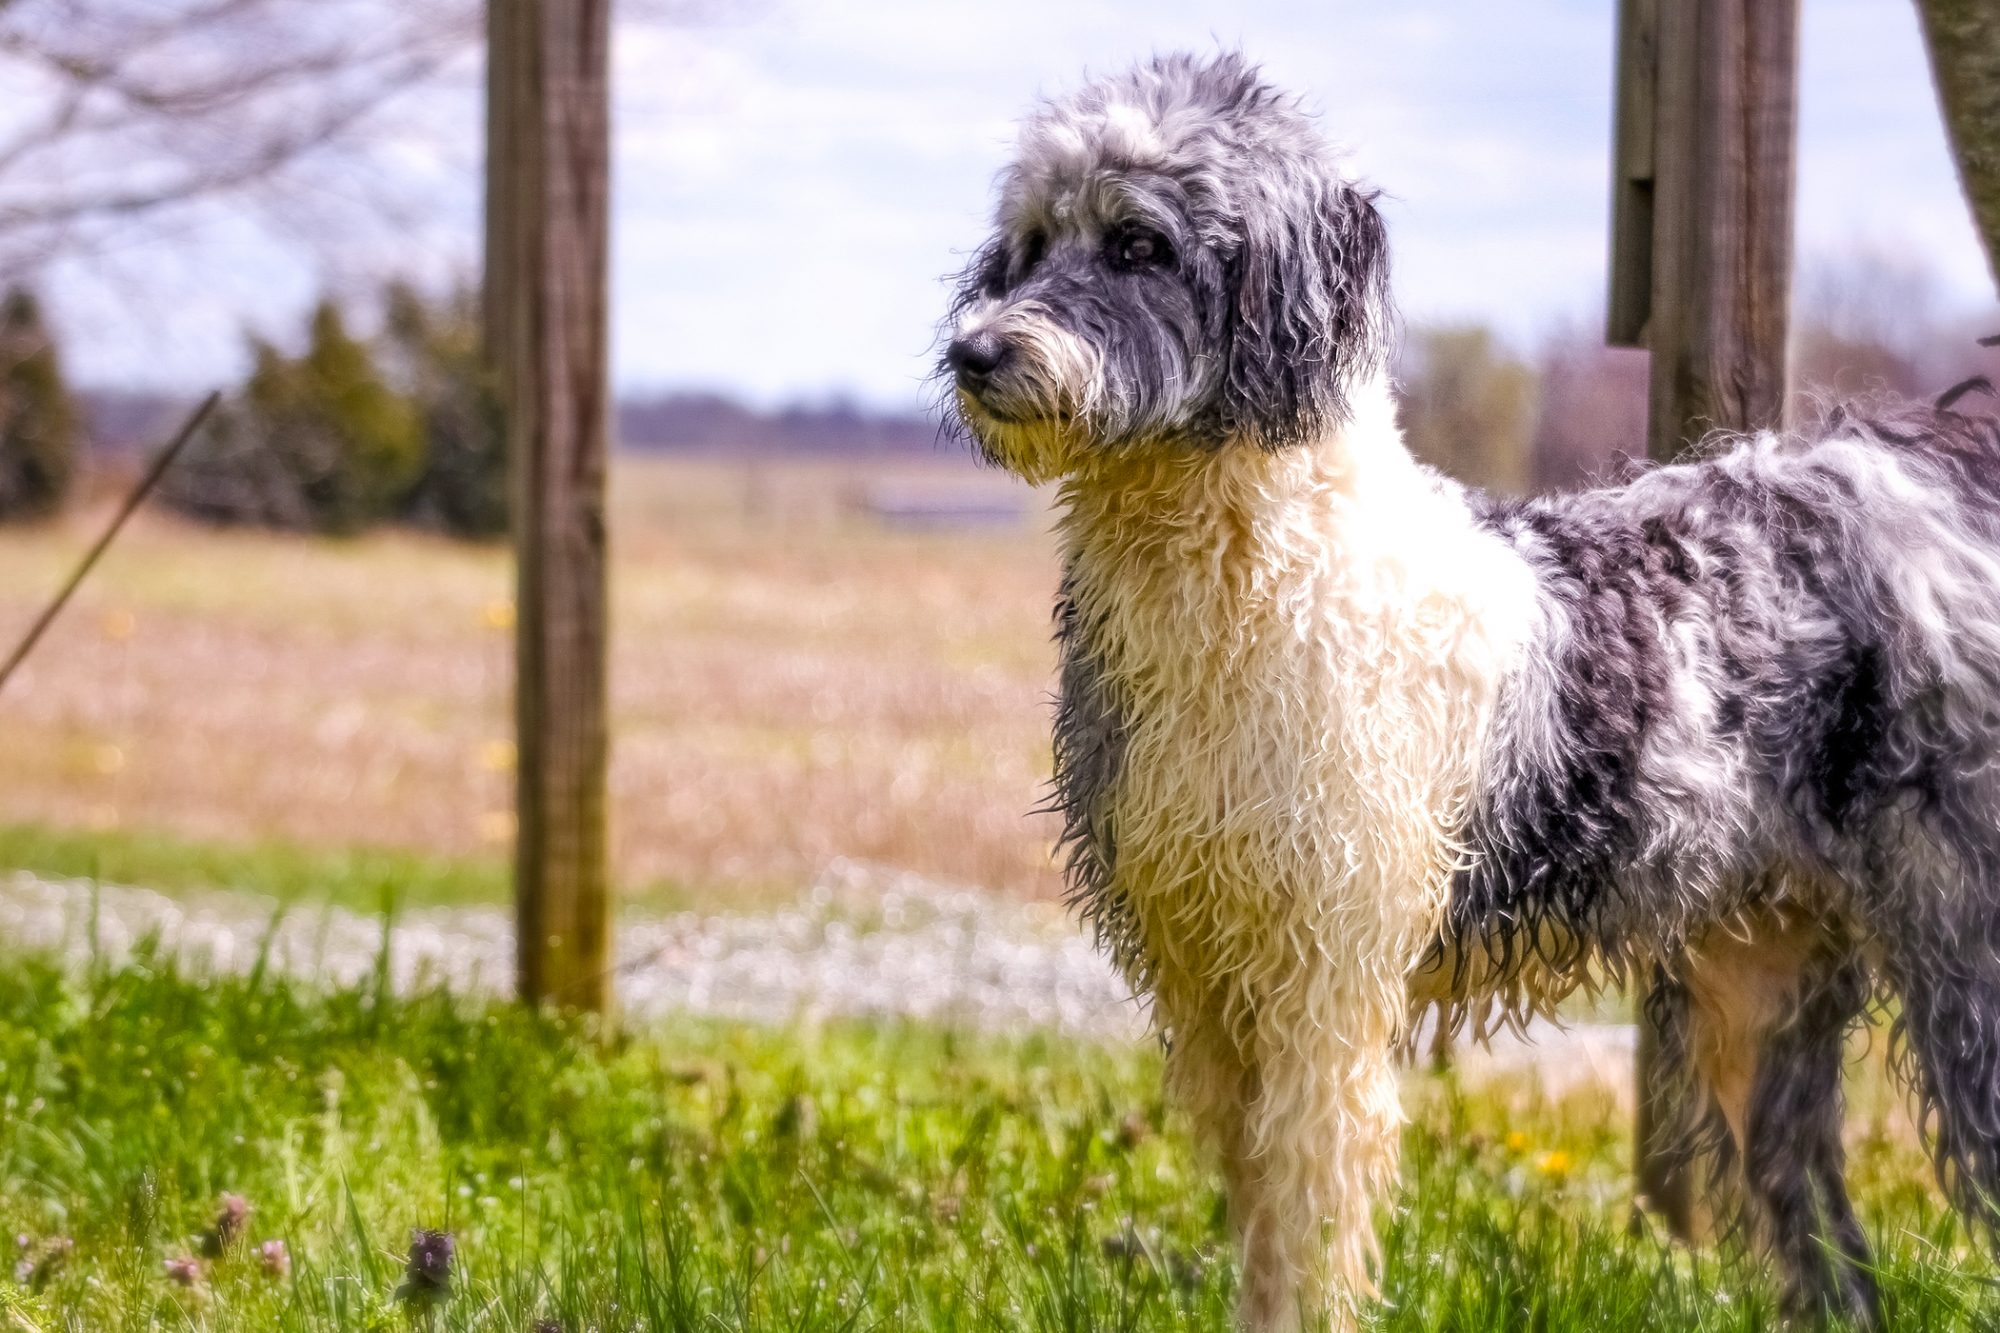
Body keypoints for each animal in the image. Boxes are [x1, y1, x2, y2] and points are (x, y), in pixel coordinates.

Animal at [944, 49, 2000, 1328]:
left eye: (1138, 243)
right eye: (1032, 238)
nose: (972, 354)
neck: (1251, 566)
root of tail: (1906, 487)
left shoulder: (1324, 989)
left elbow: (1308, 1227)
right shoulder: (1213, 990)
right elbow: (1262, 1227)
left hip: (1962, 953)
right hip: (1760, 995)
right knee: (1826, 1251)